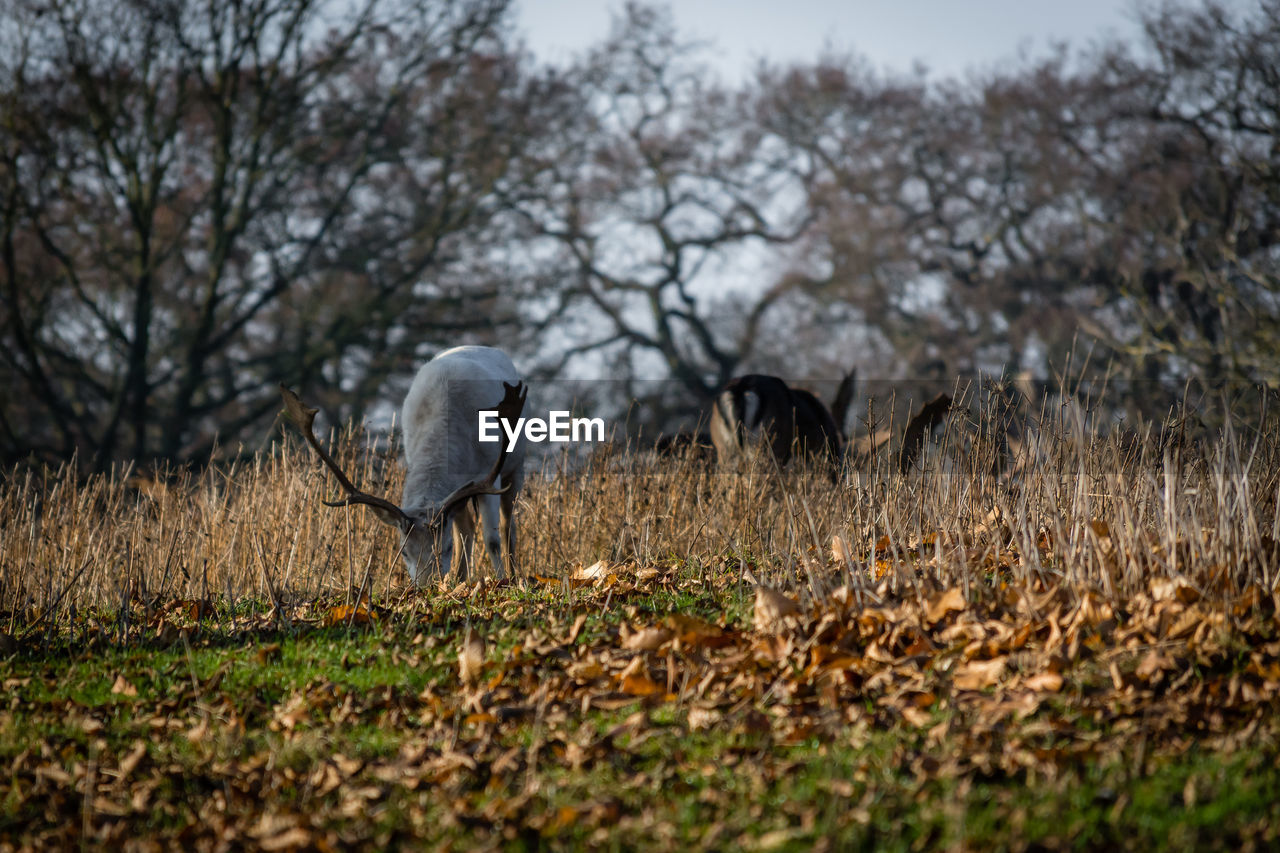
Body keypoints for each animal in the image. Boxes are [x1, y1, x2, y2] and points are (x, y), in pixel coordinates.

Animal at [282, 343, 527, 581]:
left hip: (516, 467)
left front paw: (502, 582)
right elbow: (465, 533)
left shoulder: (489, 474)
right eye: (405, 552)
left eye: (445, 548)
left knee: (507, 526)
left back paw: (513, 576)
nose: (428, 586)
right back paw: (460, 579)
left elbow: (492, 540)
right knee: (467, 531)